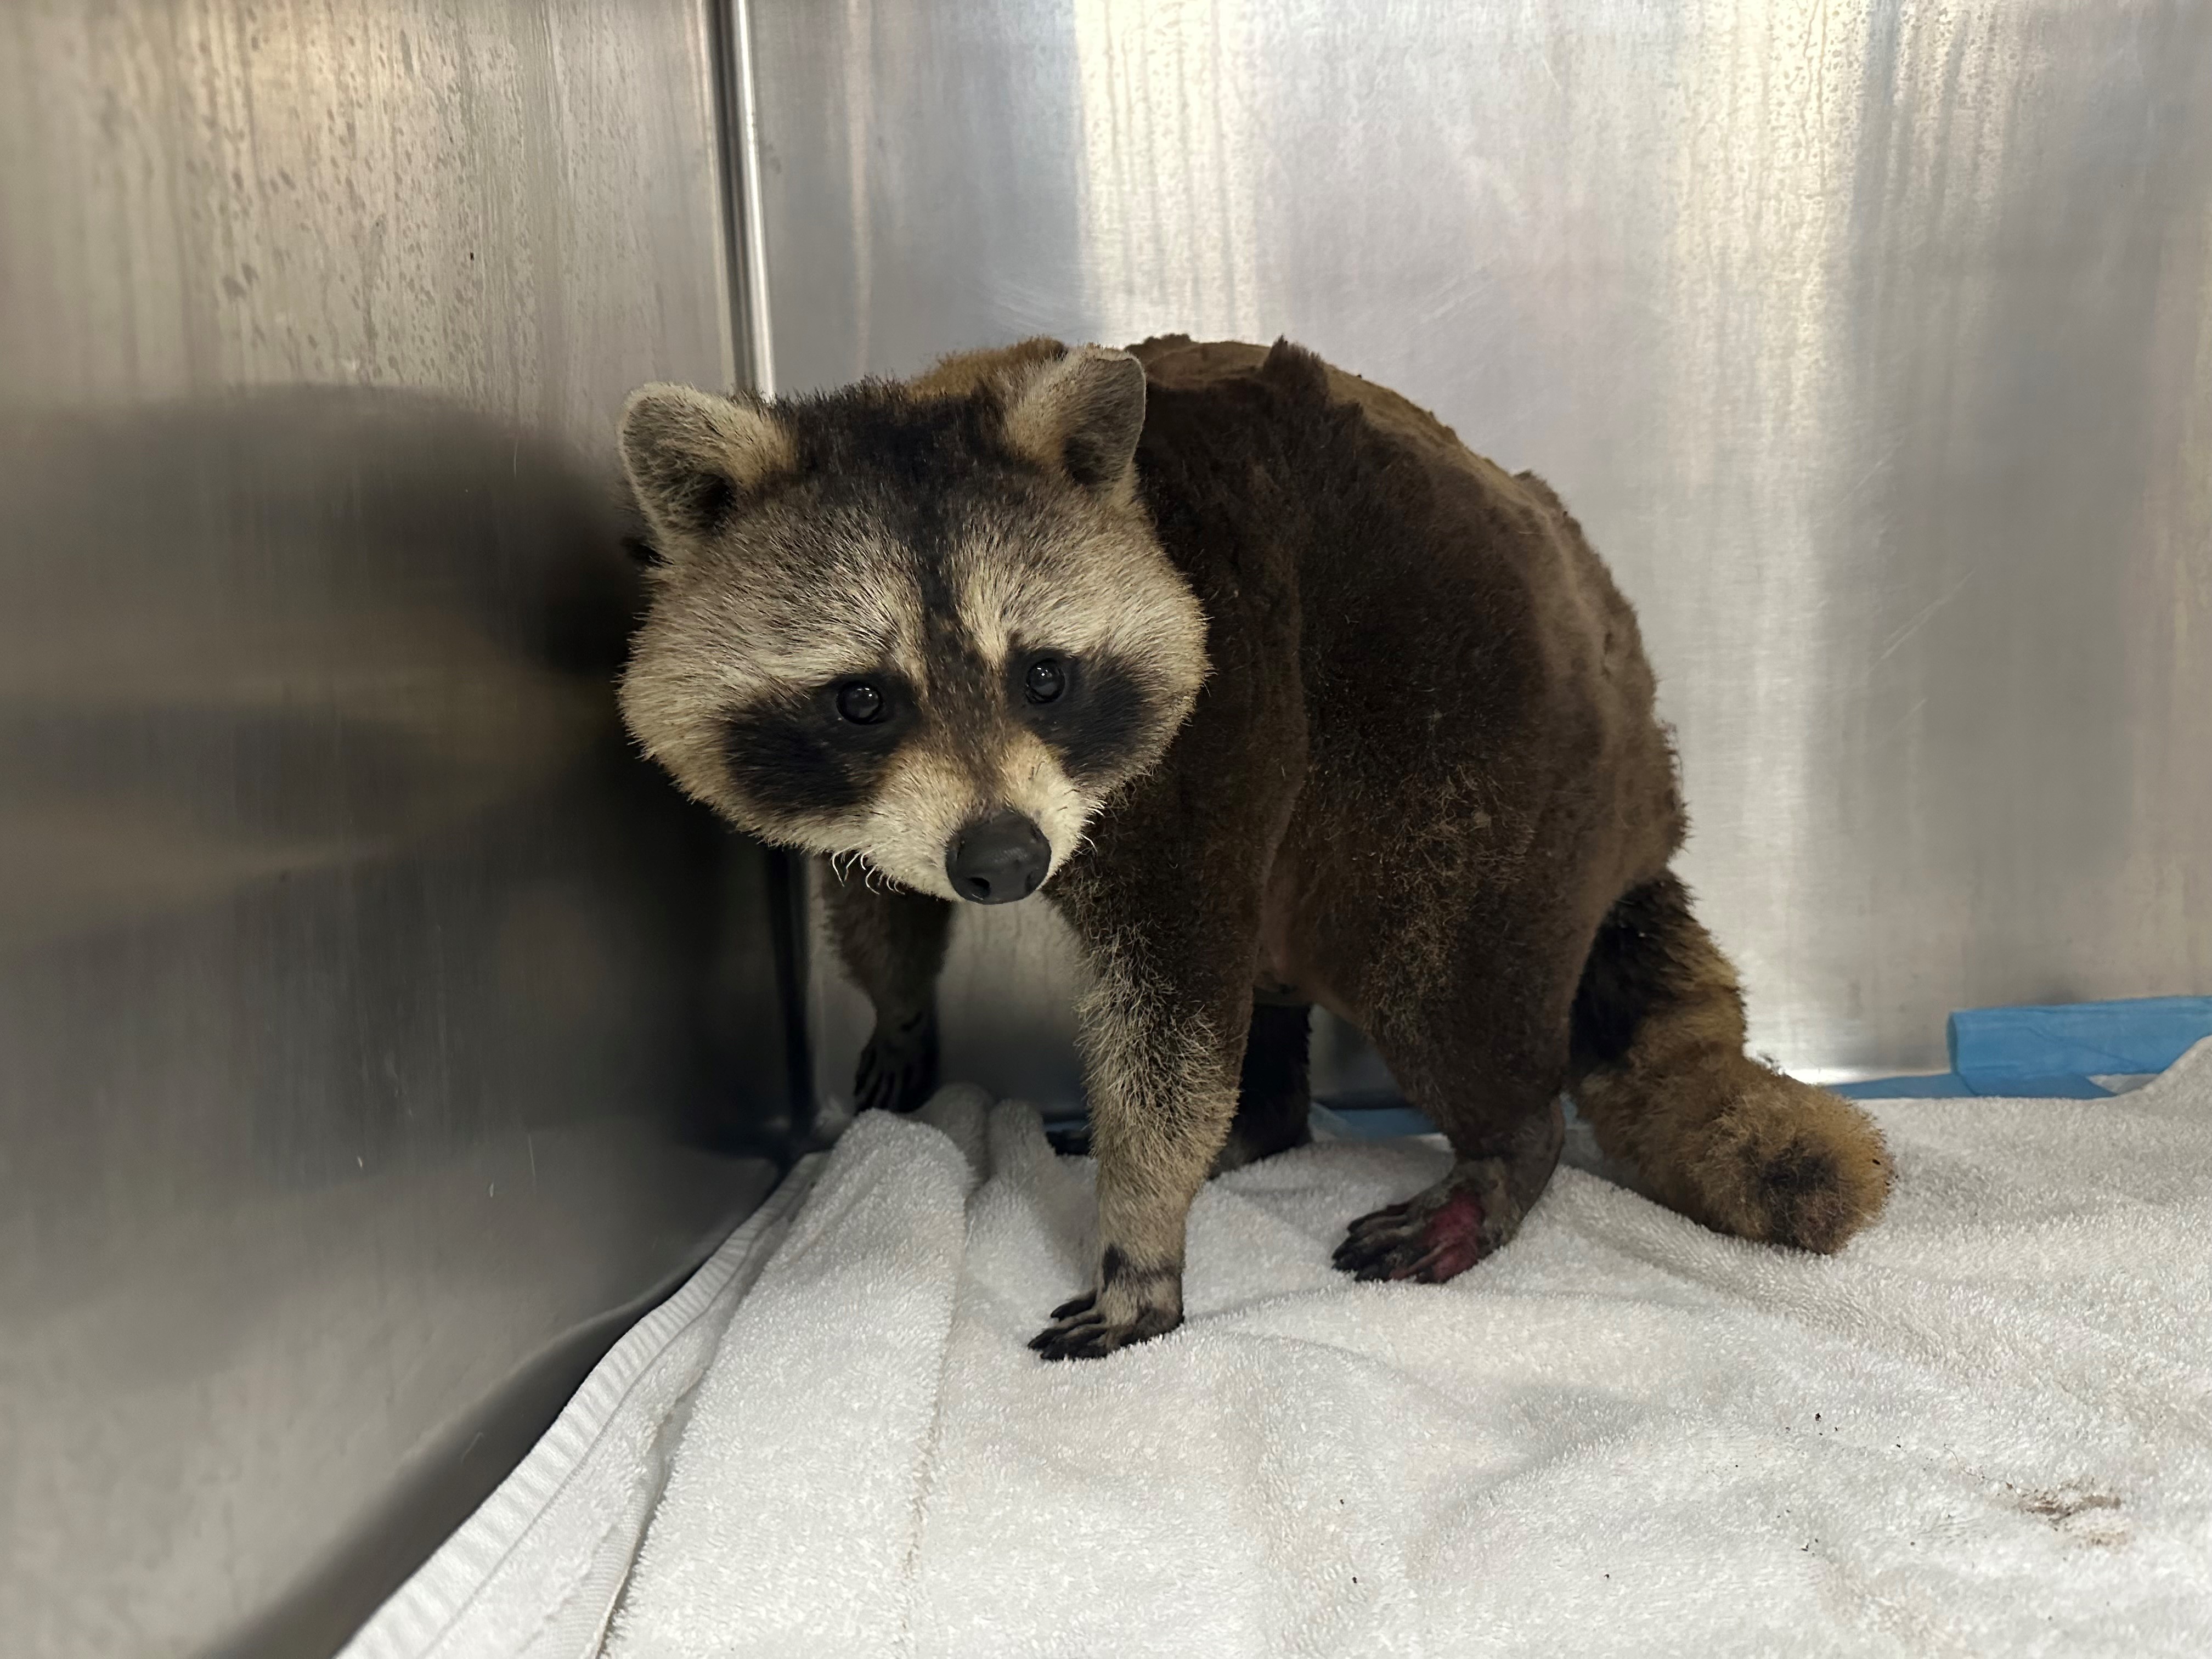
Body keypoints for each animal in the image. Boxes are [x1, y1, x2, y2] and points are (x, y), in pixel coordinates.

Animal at [617, 336, 1892, 1360]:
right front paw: (899, 1009)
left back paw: (1500, 1154)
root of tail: (1647, 790)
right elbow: (879, 895)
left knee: (1438, 976)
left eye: (1044, 676)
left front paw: (1141, 1238)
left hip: (1494, 769)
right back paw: (1264, 1123)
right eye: (862, 700)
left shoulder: (1222, 718)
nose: (1004, 869)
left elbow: (1172, 1020)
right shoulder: (882, 801)